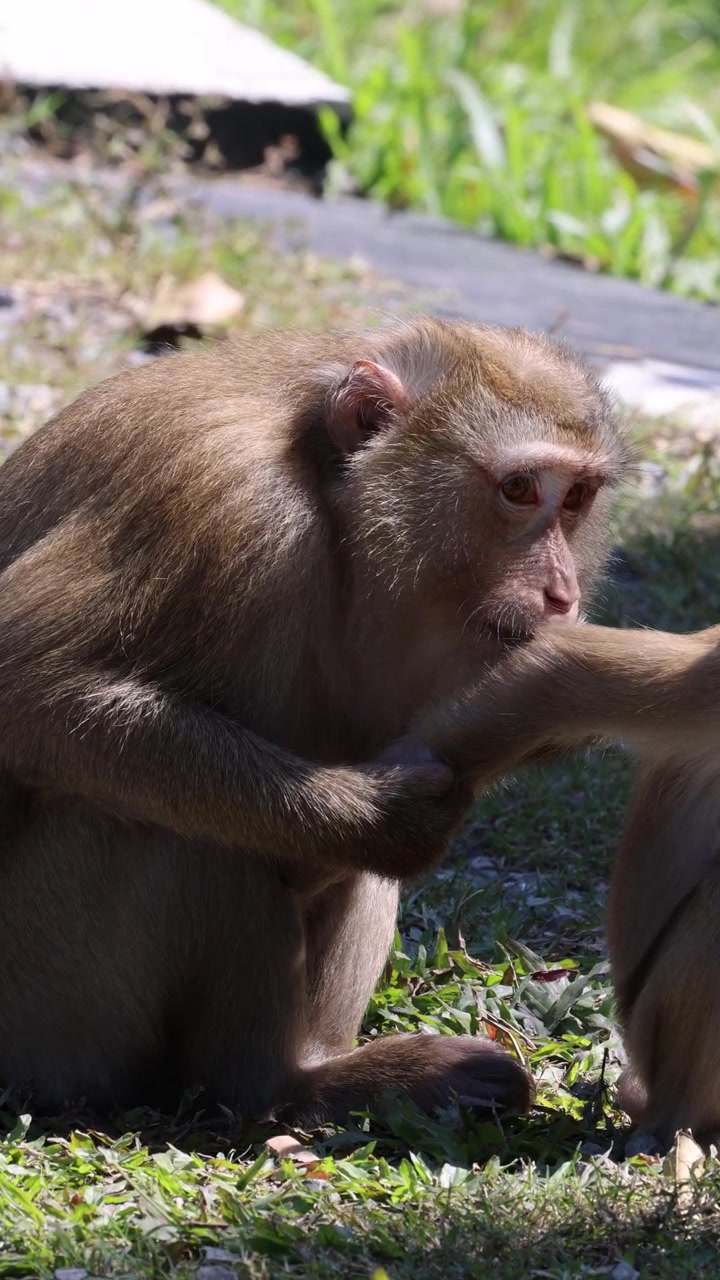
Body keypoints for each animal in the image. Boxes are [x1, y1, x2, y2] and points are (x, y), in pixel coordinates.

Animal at [0, 317, 629, 1124]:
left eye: (575, 496)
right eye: (519, 490)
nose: (561, 593)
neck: (326, 501)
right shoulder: (222, 497)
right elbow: (25, 687)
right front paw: (381, 817)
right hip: (47, 1006)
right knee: (182, 827)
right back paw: (277, 1084)